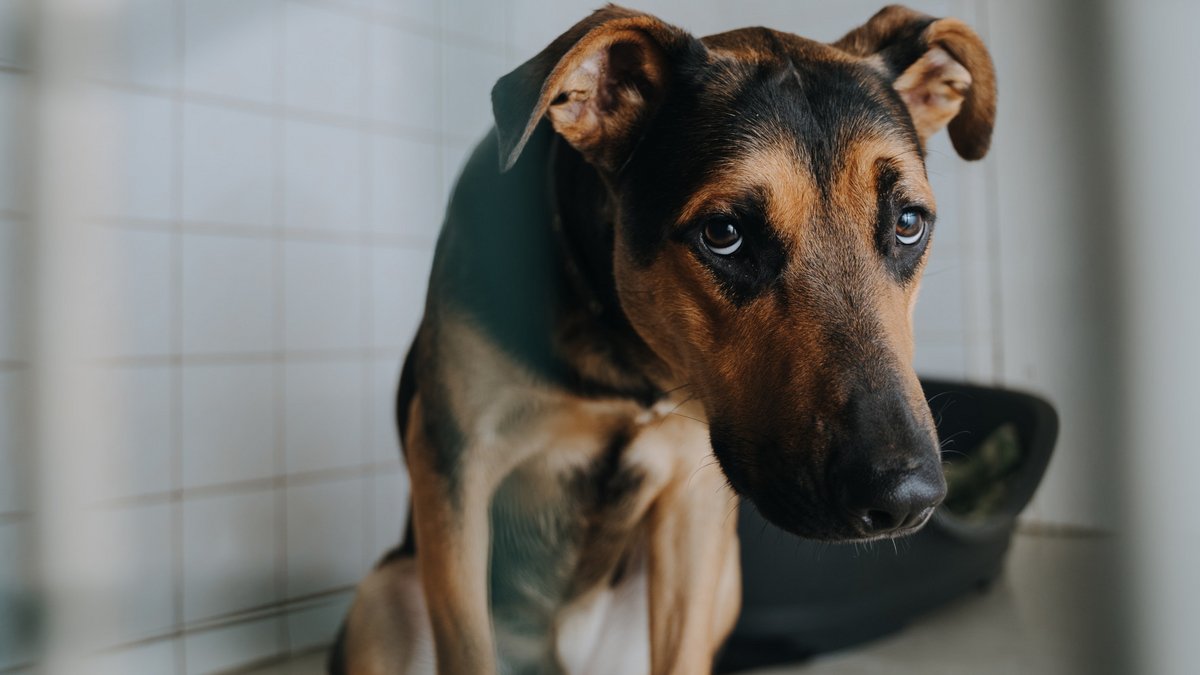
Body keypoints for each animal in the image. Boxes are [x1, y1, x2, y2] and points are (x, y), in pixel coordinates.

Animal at [328, 6, 993, 672]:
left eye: (908, 223)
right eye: (724, 233)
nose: (904, 498)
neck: (625, 350)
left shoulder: (692, 504)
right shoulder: (456, 465)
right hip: (386, 595)